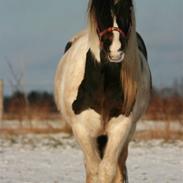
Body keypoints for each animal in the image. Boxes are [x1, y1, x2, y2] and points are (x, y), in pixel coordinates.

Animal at [54, 0, 152, 182]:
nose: (115, 49)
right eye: (99, 10)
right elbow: (94, 169)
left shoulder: (121, 127)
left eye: (128, 9)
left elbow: (107, 170)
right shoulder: (82, 129)